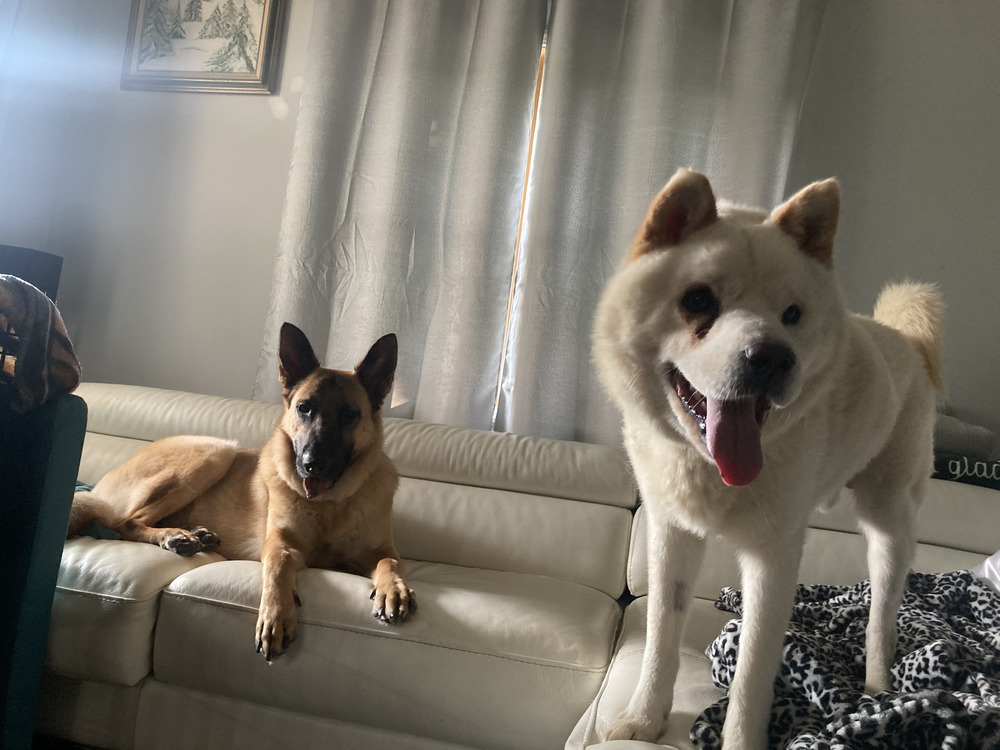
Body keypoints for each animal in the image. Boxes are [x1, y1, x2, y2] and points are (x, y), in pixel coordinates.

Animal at [69, 326, 414, 660]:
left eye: (350, 415)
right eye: (304, 408)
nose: (311, 465)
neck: (330, 504)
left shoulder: (378, 551)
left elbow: (390, 562)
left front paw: (394, 590)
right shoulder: (281, 545)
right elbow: (277, 566)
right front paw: (275, 617)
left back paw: (194, 534)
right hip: (215, 451)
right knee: (126, 522)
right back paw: (174, 536)